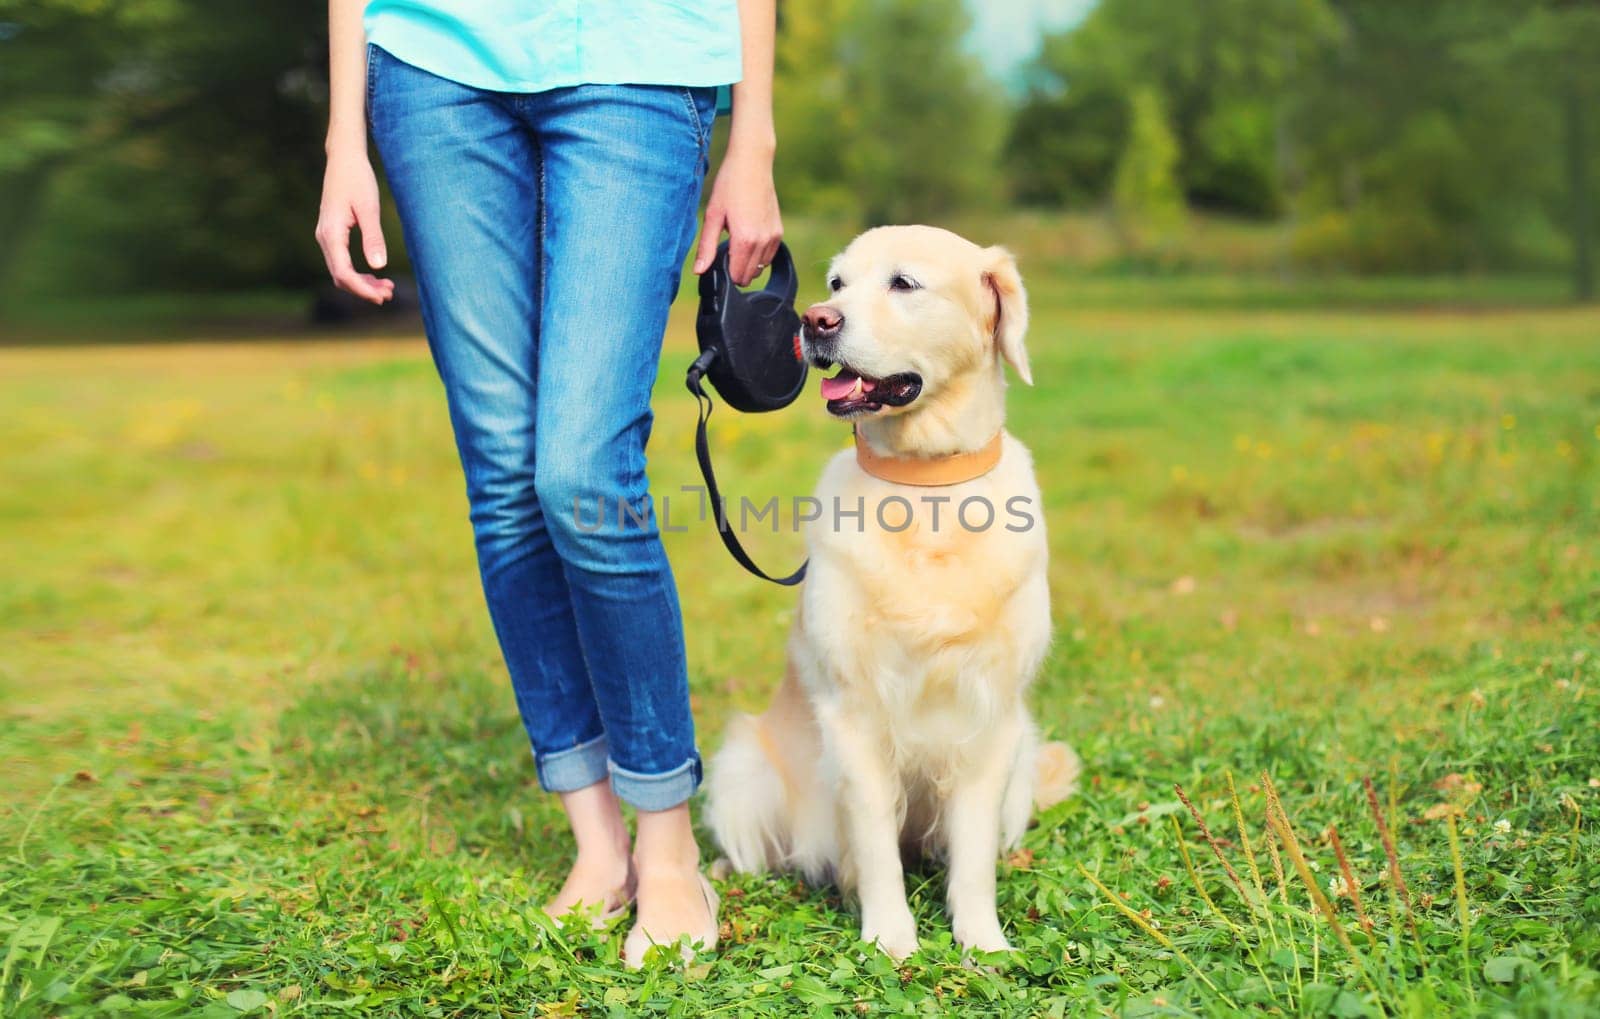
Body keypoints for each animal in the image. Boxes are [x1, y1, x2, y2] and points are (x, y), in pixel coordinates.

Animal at [707, 227, 1081, 959]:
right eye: (837, 283)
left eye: (903, 283)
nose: (814, 321)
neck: (924, 489)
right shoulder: (853, 714)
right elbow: (877, 843)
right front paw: (889, 940)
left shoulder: (991, 718)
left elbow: (972, 854)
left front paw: (982, 942)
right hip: (742, 767)